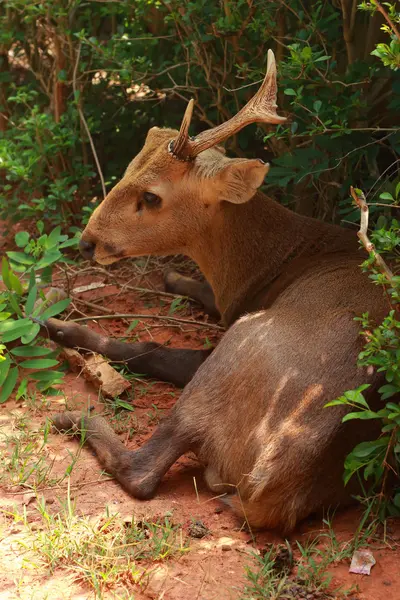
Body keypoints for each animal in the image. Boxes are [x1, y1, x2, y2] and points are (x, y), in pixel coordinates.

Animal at [46, 50, 388, 528]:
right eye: (130, 167)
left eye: (151, 197)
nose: (87, 241)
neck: (276, 258)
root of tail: (269, 482)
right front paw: (174, 278)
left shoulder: (231, 321)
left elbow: (148, 349)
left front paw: (59, 325)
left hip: (236, 351)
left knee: (143, 470)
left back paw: (72, 418)